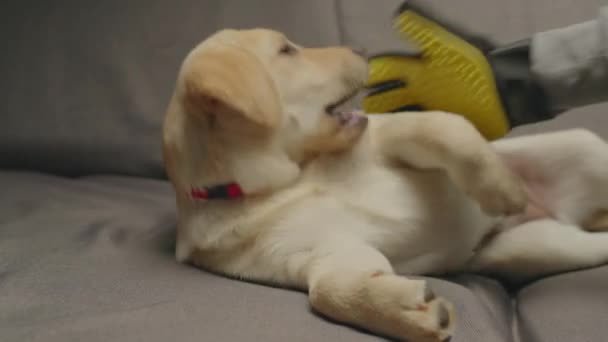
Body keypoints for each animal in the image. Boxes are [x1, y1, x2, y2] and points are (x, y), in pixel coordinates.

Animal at [160, 29, 608, 342]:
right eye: (287, 50)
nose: (363, 50)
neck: (290, 180)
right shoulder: (320, 255)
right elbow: (328, 291)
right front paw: (404, 311)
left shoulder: (388, 132)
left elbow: (444, 128)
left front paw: (500, 188)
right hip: (535, 247)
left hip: (584, 149)